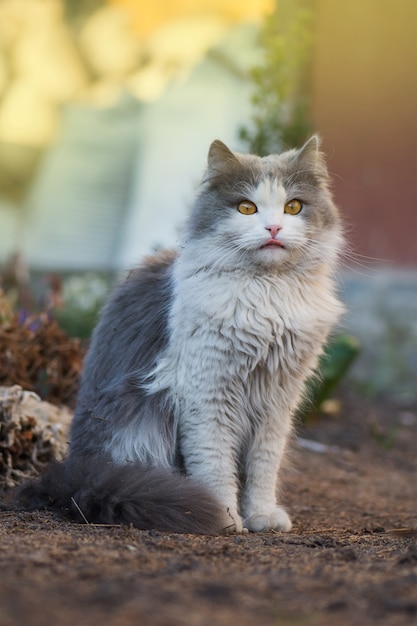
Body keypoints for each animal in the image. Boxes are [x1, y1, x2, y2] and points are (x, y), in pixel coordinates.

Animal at [18, 135, 344, 532]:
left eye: (293, 207)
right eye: (246, 208)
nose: (273, 230)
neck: (266, 293)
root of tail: (76, 473)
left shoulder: (277, 401)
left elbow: (263, 467)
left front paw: (262, 516)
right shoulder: (208, 394)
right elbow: (215, 464)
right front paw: (225, 517)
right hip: (138, 422)